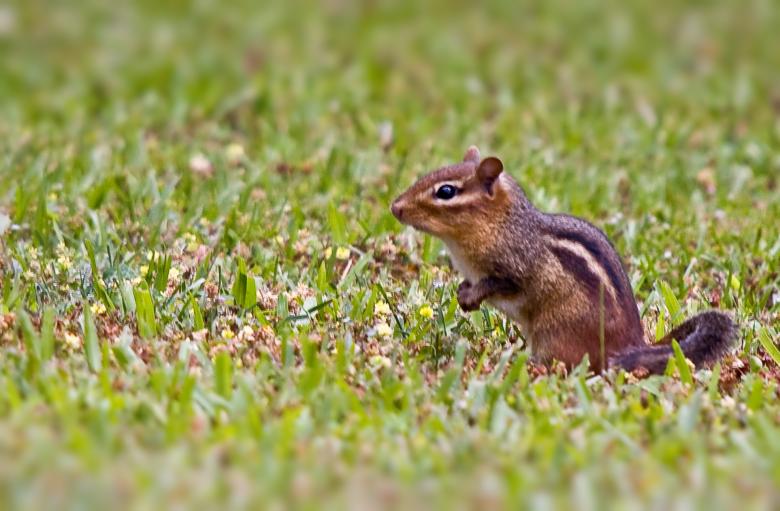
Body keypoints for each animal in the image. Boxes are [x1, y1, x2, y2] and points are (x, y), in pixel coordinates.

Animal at [391, 146, 738, 373]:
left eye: (446, 192)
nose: (395, 207)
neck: (501, 224)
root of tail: (631, 346)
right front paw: (464, 294)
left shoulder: (517, 269)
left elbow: (501, 285)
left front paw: (472, 296)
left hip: (553, 334)